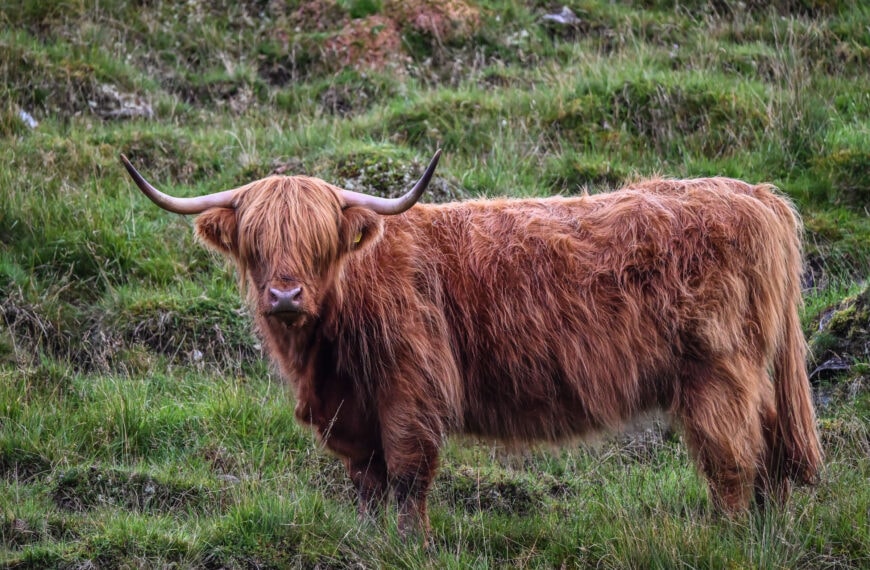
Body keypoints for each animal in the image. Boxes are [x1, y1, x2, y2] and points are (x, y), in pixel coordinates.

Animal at [121, 151, 824, 536]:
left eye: (319, 240)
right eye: (256, 240)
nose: (286, 295)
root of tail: (754, 194)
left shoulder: (411, 389)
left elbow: (408, 477)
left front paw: (412, 546)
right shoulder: (353, 412)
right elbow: (367, 484)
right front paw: (372, 540)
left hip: (717, 370)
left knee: (733, 460)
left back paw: (730, 537)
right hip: (752, 373)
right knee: (772, 453)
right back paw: (767, 532)